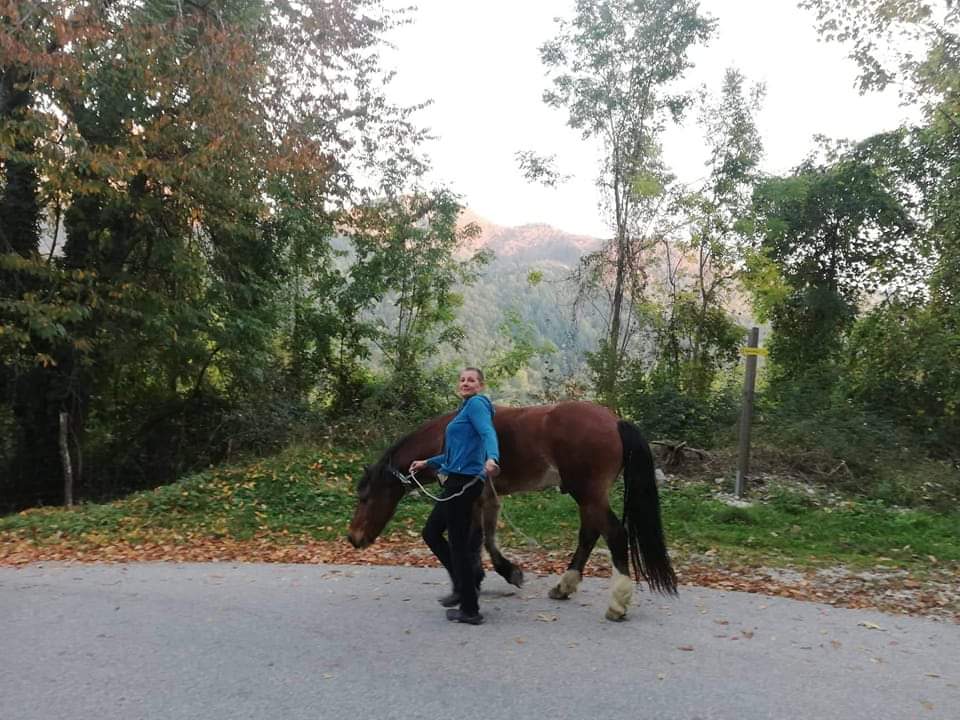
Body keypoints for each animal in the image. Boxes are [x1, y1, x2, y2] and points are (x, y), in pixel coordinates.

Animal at [348, 400, 680, 620]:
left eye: (365, 497)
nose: (353, 538)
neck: (443, 437)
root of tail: (615, 421)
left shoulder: (460, 496)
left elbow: (449, 538)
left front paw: (469, 585)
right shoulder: (486, 498)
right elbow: (483, 540)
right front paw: (494, 575)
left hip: (588, 495)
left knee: (614, 534)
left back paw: (617, 603)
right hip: (589, 497)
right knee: (589, 534)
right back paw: (564, 586)